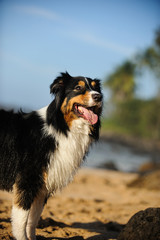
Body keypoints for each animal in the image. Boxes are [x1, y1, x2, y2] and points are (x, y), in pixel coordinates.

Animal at [0, 71, 102, 240]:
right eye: (78, 88)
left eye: (96, 88)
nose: (98, 96)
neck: (62, 127)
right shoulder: (27, 180)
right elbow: (22, 219)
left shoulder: (43, 187)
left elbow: (33, 220)